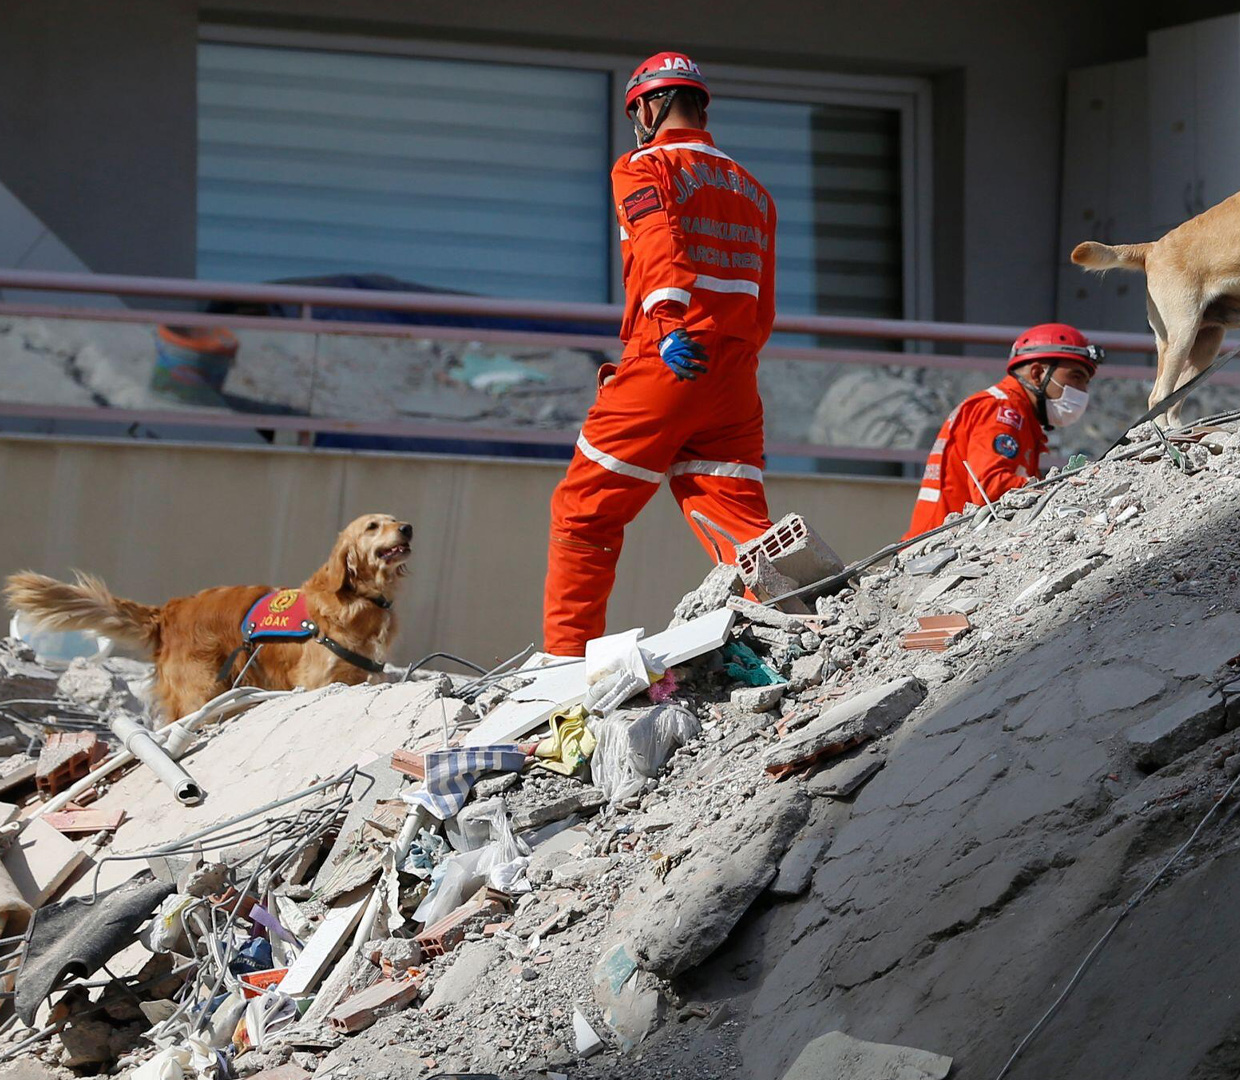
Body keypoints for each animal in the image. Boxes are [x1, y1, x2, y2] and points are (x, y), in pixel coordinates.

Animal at [2, 515, 414, 724]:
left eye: (394, 520)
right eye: (373, 526)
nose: (408, 527)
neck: (362, 600)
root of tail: (169, 610)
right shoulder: (316, 680)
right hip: (201, 690)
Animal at [1071, 192, 1240, 429]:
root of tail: (1151, 248)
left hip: (1205, 345)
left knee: (1174, 399)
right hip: (1181, 335)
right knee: (1158, 397)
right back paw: (1165, 430)